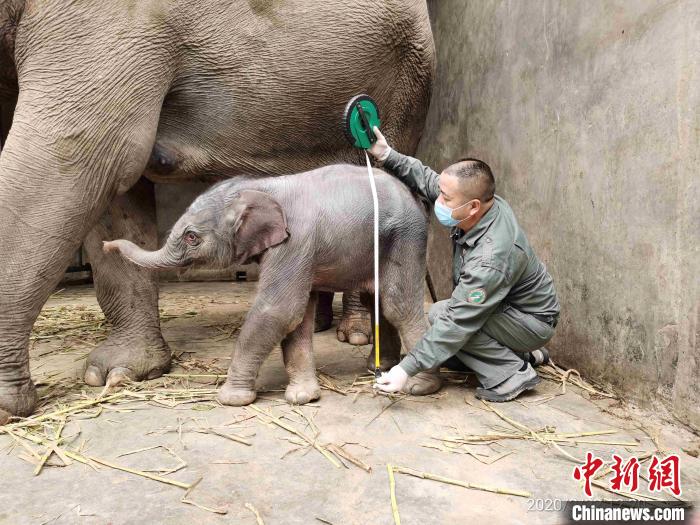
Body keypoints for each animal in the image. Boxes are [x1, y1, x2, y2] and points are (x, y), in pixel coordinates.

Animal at [106, 165, 430, 406]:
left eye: (191, 237)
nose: (106, 244)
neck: (262, 185)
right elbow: (298, 318)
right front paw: (302, 397)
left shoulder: (295, 241)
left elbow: (278, 310)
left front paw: (231, 399)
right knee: (376, 301)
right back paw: (379, 368)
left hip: (406, 236)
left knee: (398, 304)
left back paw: (419, 387)